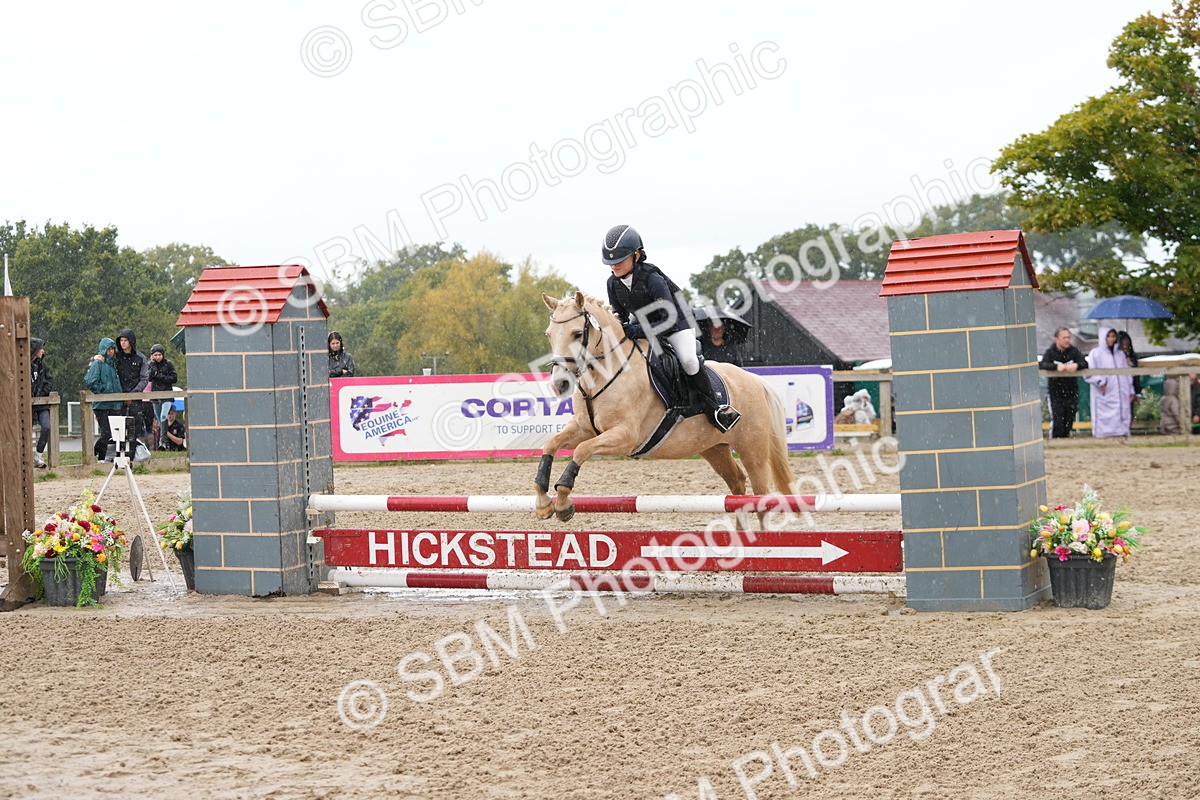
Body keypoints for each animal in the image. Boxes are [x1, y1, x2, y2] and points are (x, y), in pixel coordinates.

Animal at [534, 291, 794, 522]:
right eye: (548, 334)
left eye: (578, 334)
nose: (559, 384)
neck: (604, 374)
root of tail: (753, 378)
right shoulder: (584, 429)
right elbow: (551, 444)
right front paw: (544, 504)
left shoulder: (625, 436)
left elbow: (581, 450)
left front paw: (563, 503)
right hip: (714, 448)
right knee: (737, 484)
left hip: (752, 448)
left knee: (761, 496)